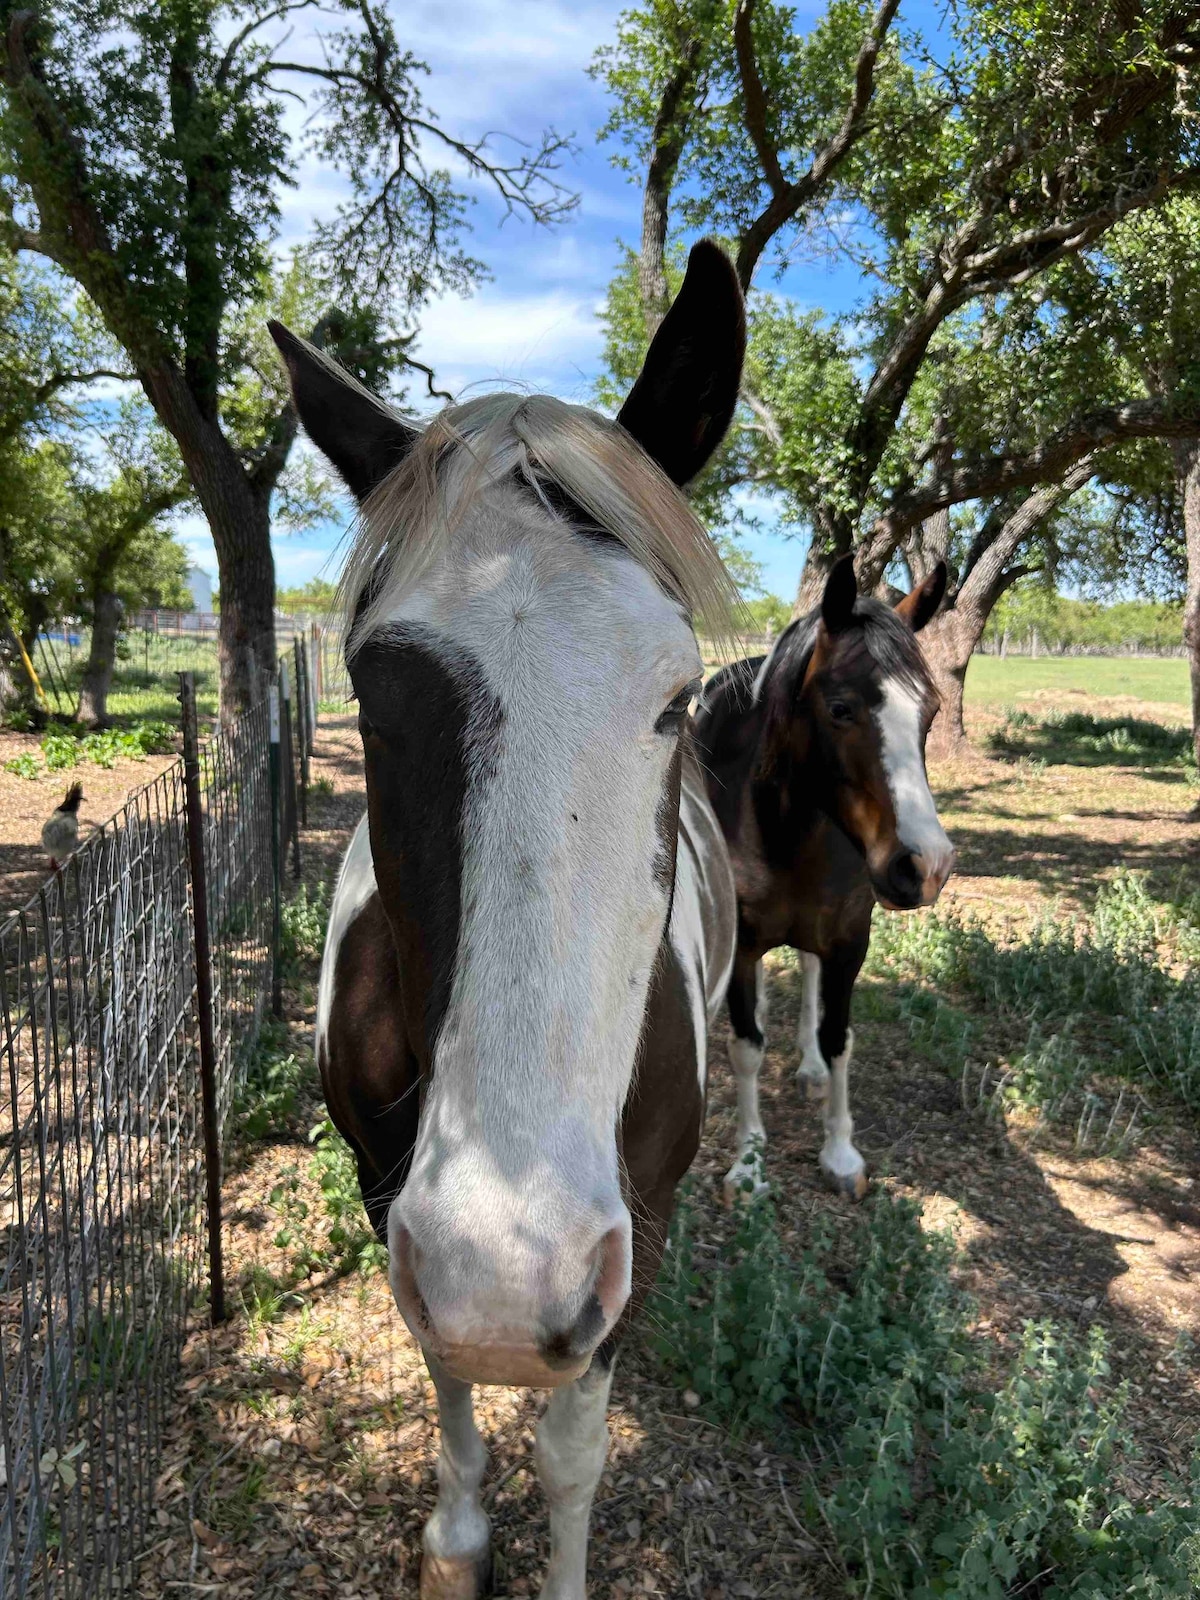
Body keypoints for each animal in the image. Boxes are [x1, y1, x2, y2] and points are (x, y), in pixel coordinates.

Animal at [268, 236, 748, 1600]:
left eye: (675, 698)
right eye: (373, 691)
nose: (505, 1273)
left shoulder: (622, 1240)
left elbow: (574, 1453)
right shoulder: (394, 1199)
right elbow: (448, 1375)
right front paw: (458, 1540)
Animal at [694, 560, 960, 1203]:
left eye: (931, 712)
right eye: (841, 709)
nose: (927, 866)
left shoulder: (848, 942)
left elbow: (839, 1037)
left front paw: (840, 1152)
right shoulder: (743, 946)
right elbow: (746, 1046)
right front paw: (749, 1162)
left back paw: (810, 1069)